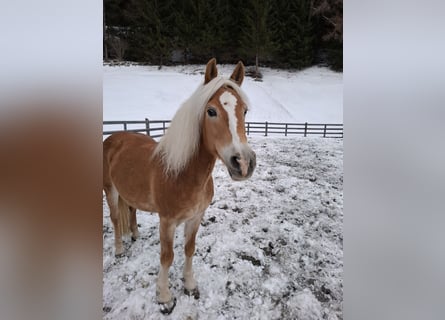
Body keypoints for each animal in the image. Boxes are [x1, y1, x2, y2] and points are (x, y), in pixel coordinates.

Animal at [102, 58, 255, 316]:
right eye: (211, 111)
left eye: (244, 111)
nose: (243, 163)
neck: (183, 173)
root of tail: (113, 138)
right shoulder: (167, 221)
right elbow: (167, 256)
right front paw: (164, 297)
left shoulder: (195, 217)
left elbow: (189, 249)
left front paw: (190, 284)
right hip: (110, 191)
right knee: (114, 218)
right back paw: (120, 249)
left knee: (131, 210)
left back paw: (135, 235)